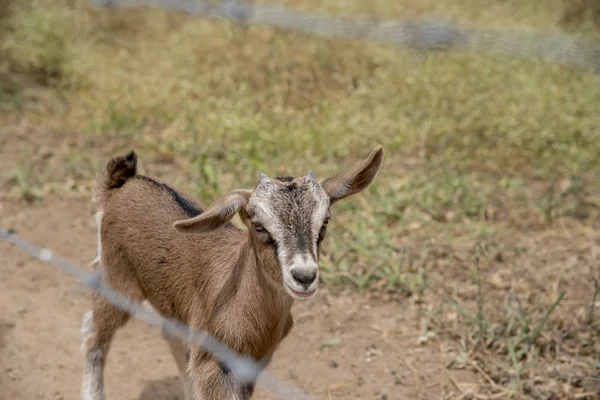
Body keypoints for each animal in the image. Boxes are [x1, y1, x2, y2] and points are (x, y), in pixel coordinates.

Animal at [81, 145, 384, 398]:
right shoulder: (213, 363)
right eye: (259, 225)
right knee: (93, 333)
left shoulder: (250, 364)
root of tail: (124, 184)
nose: (304, 276)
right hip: (118, 278)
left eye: (325, 223)